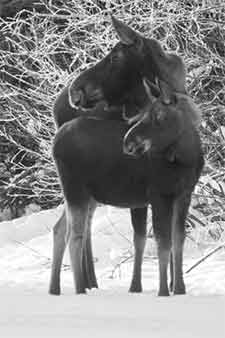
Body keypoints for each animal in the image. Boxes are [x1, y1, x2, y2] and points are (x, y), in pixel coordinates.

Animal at [49, 16, 195, 296]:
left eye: (116, 56)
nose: (76, 90)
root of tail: (55, 107)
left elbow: (161, 238)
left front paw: (172, 285)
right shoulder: (141, 188)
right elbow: (143, 238)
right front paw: (138, 286)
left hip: (87, 188)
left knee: (68, 225)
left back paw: (69, 285)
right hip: (83, 185)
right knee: (75, 226)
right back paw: (82, 283)